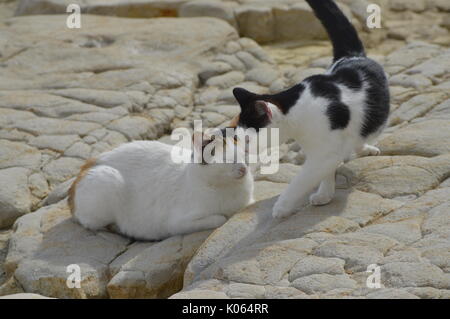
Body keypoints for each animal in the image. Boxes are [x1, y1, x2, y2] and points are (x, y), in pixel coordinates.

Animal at [69, 131, 255, 241]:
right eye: (226, 160)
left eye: (244, 155)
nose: (243, 168)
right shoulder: (178, 222)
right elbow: (220, 218)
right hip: (107, 180)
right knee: (91, 223)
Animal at [230, 0, 388, 219]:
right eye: (237, 137)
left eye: (246, 139)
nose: (243, 151)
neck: (297, 110)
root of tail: (352, 56)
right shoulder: (322, 150)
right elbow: (325, 171)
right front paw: (325, 194)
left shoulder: (324, 152)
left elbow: (301, 180)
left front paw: (282, 207)